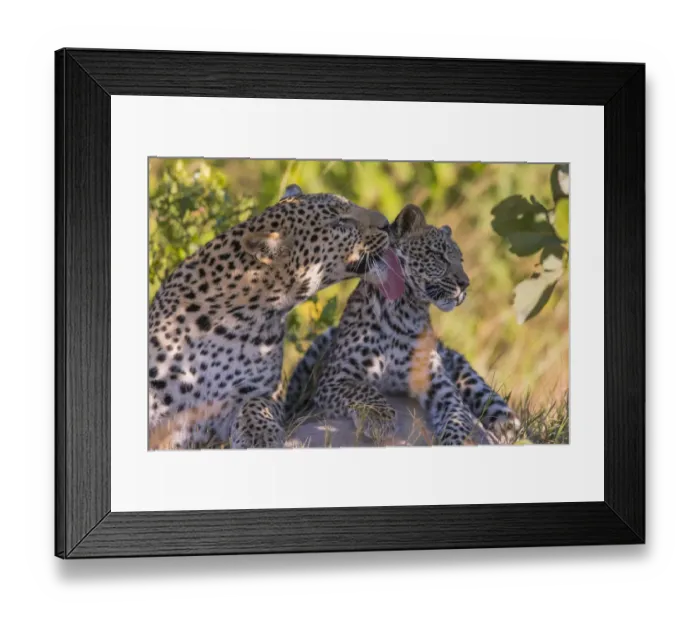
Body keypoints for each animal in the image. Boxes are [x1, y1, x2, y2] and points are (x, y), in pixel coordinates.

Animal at [285, 203, 522, 446]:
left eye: (461, 260)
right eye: (439, 256)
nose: (465, 284)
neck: (403, 312)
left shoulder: (440, 386)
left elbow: (458, 416)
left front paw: (457, 440)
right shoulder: (335, 378)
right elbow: (364, 391)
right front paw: (380, 420)